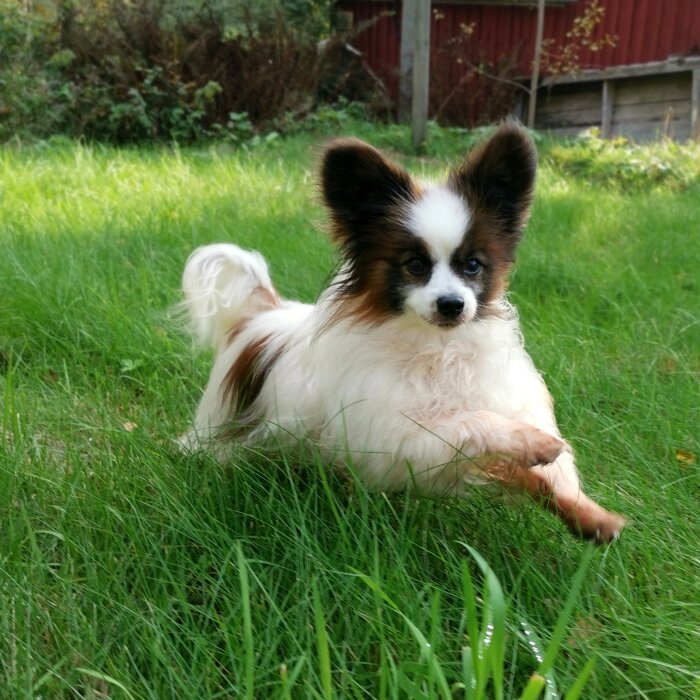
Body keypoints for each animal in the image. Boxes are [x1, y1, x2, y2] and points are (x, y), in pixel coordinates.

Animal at [178, 124, 628, 540]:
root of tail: (263, 313)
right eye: (414, 265)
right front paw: (534, 443)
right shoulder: (398, 437)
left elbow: (541, 477)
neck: (438, 349)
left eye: (473, 265)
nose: (452, 304)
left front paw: (588, 517)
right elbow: (472, 423)